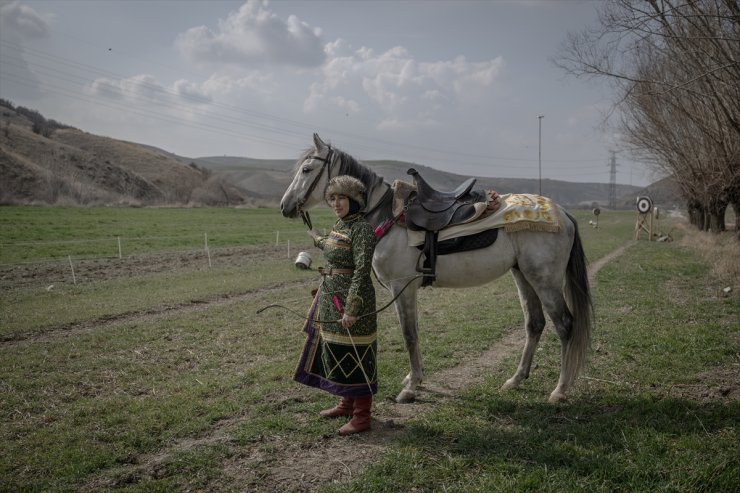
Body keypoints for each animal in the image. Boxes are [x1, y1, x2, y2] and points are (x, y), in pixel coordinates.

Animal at [280, 134, 592, 404]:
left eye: (307, 169)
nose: (285, 206)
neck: (387, 216)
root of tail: (562, 213)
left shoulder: (401, 287)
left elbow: (409, 334)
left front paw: (412, 387)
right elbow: (414, 332)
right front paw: (413, 379)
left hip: (545, 281)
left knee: (565, 325)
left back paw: (560, 390)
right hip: (523, 276)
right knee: (534, 324)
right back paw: (515, 380)